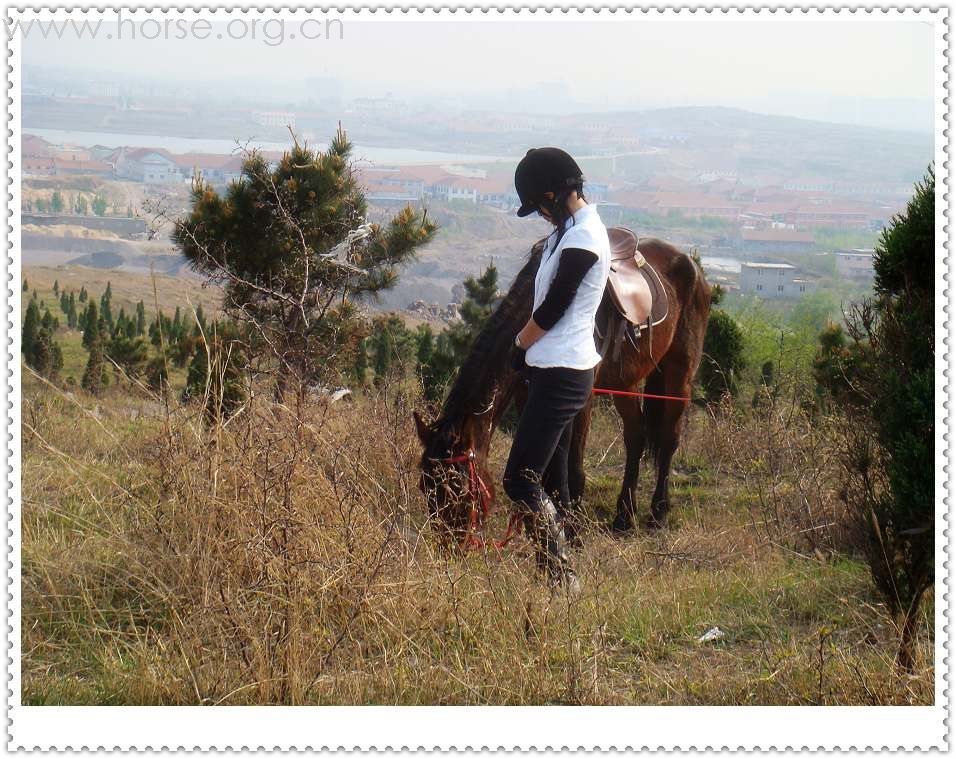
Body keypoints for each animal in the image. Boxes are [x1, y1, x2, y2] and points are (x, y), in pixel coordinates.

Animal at [414, 229, 712, 544]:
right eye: (426, 488)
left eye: (456, 486)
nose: (452, 545)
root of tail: (693, 268)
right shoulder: (529, 397)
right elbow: (544, 468)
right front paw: (543, 523)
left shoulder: (582, 399)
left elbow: (574, 467)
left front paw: (574, 529)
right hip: (626, 382)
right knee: (636, 436)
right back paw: (623, 516)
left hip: (680, 373)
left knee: (668, 439)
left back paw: (658, 513)